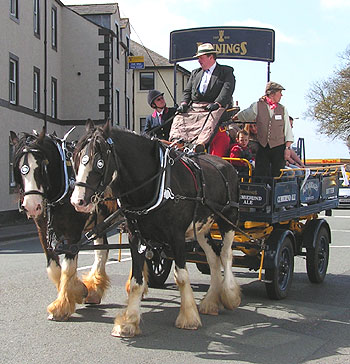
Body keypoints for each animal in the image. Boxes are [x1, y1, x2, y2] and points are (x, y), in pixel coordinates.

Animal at [10, 129, 117, 322]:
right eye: (17, 168)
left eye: (42, 166)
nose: (32, 205)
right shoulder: (42, 229)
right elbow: (53, 266)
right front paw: (78, 289)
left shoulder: (73, 231)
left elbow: (68, 267)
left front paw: (61, 306)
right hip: (99, 221)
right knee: (101, 251)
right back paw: (95, 290)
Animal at [71, 121, 241, 336]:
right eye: (75, 158)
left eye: (100, 162)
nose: (78, 201)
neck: (154, 183)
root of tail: (227, 165)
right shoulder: (136, 236)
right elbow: (136, 281)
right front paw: (129, 322)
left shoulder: (177, 237)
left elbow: (182, 277)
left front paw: (188, 317)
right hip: (202, 228)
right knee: (213, 258)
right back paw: (210, 302)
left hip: (228, 220)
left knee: (226, 254)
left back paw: (230, 295)